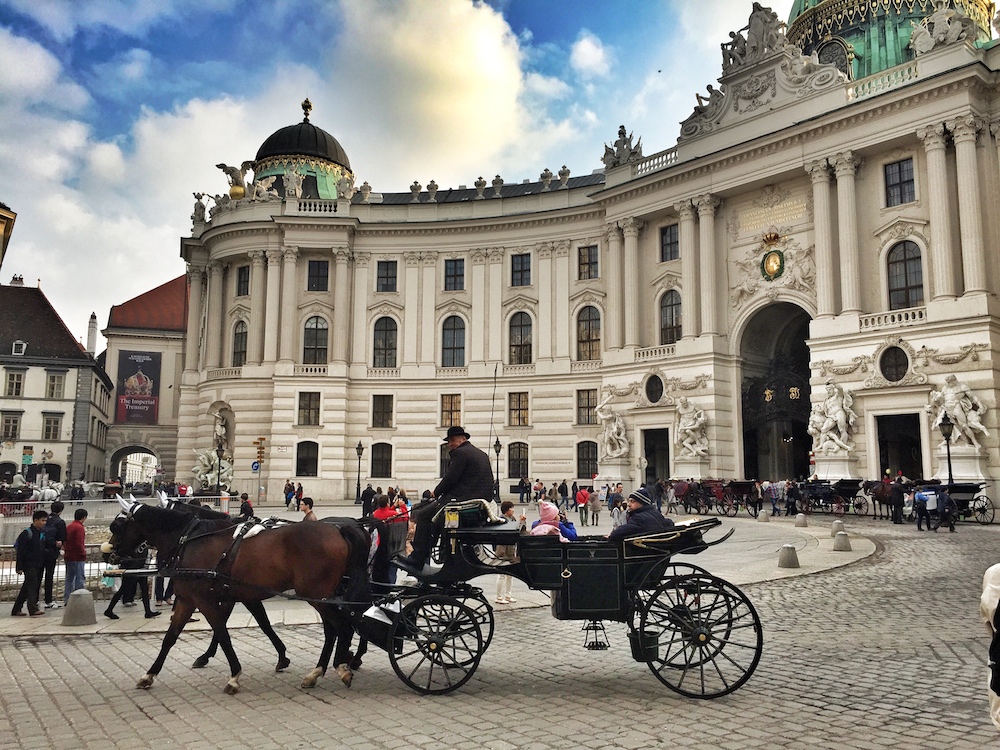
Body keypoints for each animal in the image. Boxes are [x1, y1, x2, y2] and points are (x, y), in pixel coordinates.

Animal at [112, 502, 372, 696]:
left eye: (117, 526)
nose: (111, 554)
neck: (190, 540)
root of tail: (339, 529)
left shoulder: (205, 600)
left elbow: (223, 633)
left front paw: (234, 676)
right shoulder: (199, 599)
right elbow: (171, 638)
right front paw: (149, 675)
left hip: (317, 594)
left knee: (342, 627)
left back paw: (342, 667)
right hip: (321, 595)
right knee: (334, 629)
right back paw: (319, 671)